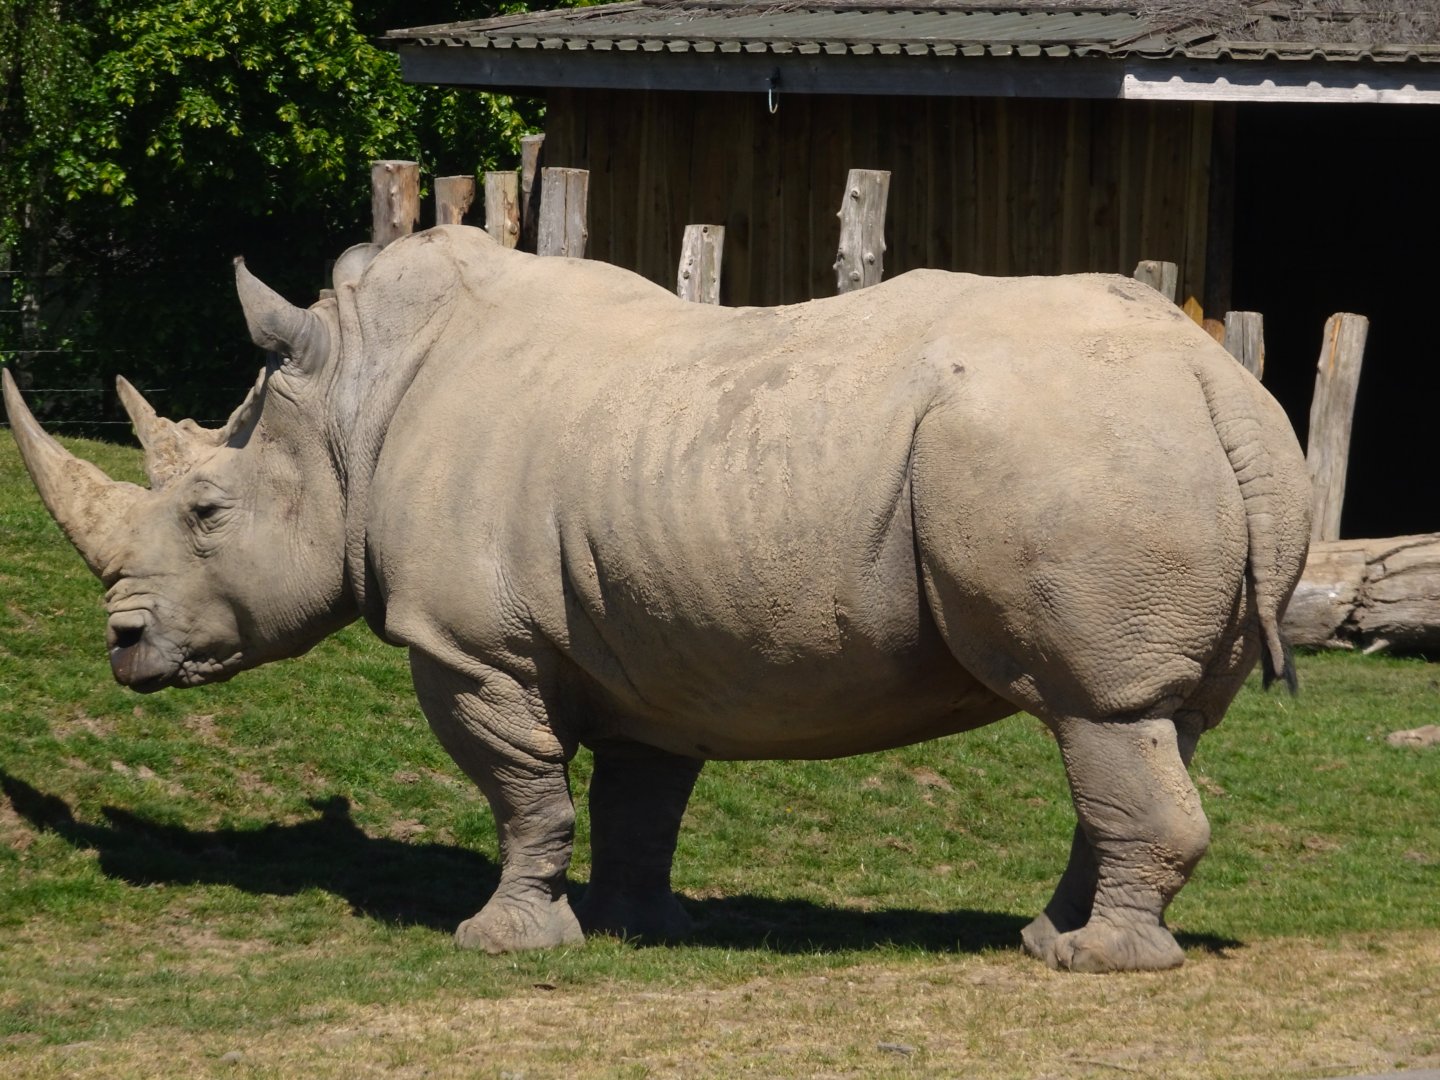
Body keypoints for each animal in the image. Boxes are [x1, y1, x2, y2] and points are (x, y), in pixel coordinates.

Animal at [3, 225, 1311, 972]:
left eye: (206, 512)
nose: (124, 646)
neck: (350, 407)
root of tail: (1212, 374)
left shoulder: (469, 645)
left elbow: (523, 791)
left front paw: (502, 941)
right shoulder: (648, 641)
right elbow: (638, 795)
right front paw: (640, 929)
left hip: (1073, 452)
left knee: (1095, 709)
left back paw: (1100, 965)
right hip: (1160, 452)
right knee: (1146, 724)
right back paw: (1054, 939)